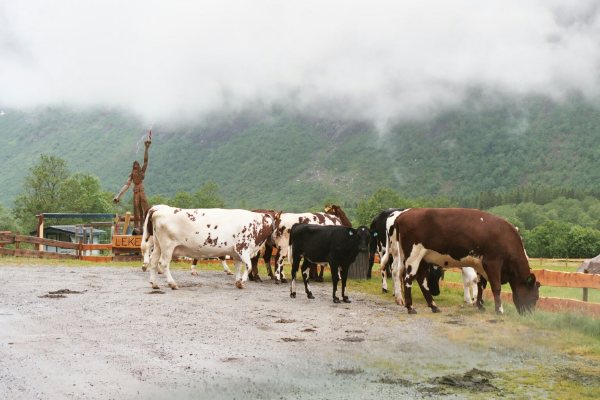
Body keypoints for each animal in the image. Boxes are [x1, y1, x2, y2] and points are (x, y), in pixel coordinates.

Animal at [142, 206, 278, 290]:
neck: (256, 224)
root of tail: (158, 210)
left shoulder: (236, 253)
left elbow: (238, 268)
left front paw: (238, 282)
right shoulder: (243, 249)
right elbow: (248, 266)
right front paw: (242, 282)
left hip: (158, 245)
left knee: (153, 262)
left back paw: (154, 284)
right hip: (167, 246)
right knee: (163, 263)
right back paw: (172, 284)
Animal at [390, 208, 540, 314]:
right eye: (535, 297)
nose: (529, 314)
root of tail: (404, 214)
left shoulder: (480, 265)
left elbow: (481, 284)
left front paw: (480, 305)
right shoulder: (493, 262)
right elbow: (496, 287)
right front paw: (499, 310)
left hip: (423, 257)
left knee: (421, 280)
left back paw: (434, 306)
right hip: (414, 255)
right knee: (408, 278)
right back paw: (410, 307)